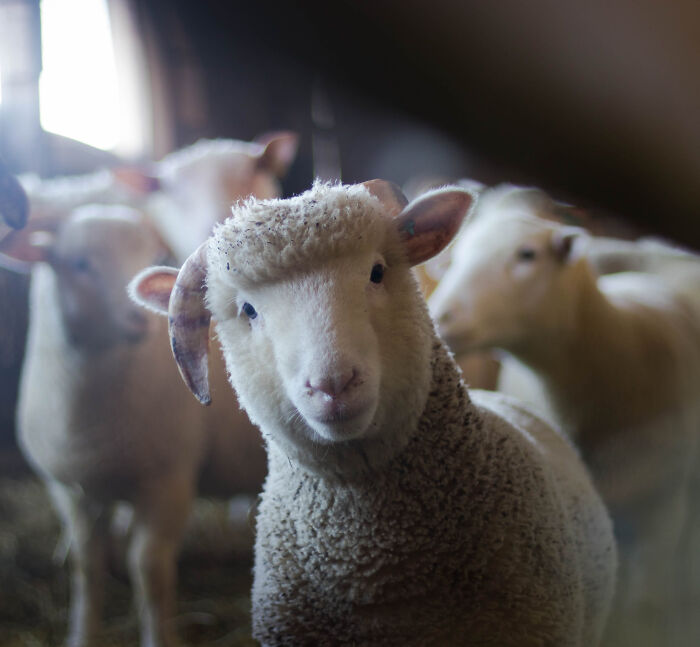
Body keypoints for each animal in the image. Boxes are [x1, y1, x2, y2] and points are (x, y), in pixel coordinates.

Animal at [0, 204, 266, 647]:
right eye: (80, 264)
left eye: (151, 254)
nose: (141, 316)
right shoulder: (70, 491)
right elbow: (85, 567)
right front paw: (81, 635)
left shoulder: (169, 481)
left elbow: (149, 569)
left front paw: (160, 637)